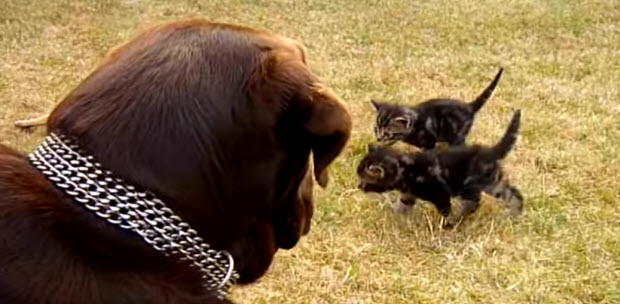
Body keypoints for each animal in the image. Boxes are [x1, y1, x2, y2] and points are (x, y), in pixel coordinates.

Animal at [358, 110, 524, 224]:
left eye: (364, 180)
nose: (358, 186)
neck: (404, 169)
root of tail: (489, 151)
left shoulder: (440, 193)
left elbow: (445, 211)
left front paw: (446, 226)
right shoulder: (408, 195)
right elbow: (402, 206)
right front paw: (393, 216)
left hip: (470, 186)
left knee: (474, 203)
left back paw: (460, 218)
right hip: (492, 182)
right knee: (513, 192)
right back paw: (516, 211)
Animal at [372, 68, 504, 150]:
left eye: (387, 133)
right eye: (376, 129)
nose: (378, 139)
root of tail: (468, 106)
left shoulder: (429, 142)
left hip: (457, 136)